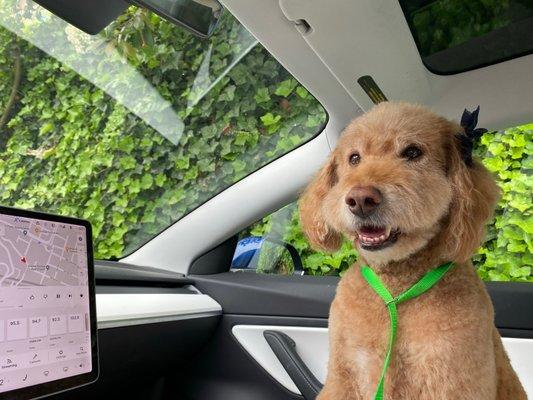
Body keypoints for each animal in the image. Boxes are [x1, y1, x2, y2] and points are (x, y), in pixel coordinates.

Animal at [300, 101, 524, 398]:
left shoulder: (454, 380)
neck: (395, 295)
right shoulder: (344, 374)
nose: (360, 199)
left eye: (413, 152)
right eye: (354, 158)